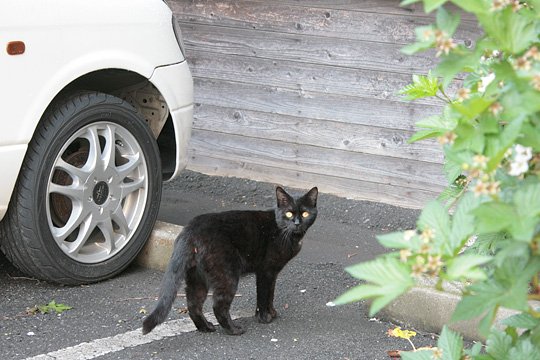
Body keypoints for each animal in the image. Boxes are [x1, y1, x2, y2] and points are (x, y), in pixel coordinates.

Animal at [142, 186, 316, 334]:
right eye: (289, 214)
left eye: (305, 214)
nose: (297, 223)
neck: (284, 231)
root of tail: (189, 230)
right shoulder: (265, 271)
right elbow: (263, 294)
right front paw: (264, 318)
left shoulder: (273, 273)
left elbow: (271, 294)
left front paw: (271, 312)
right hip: (227, 275)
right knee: (218, 306)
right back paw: (234, 330)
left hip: (197, 277)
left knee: (193, 304)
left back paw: (206, 328)